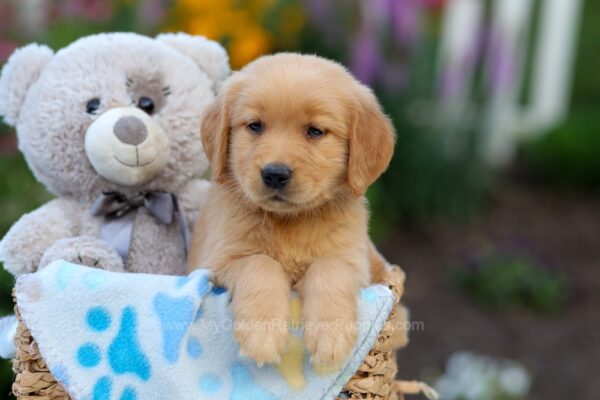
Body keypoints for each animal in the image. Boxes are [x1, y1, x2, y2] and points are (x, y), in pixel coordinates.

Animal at [192, 52, 396, 366]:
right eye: (255, 126)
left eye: (315, 131)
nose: (275, 174)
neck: (288, 221)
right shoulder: (216, 263)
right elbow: (259, 263)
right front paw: (262, 334)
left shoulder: (354, 264)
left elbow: (330, 267)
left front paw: (330, 336)